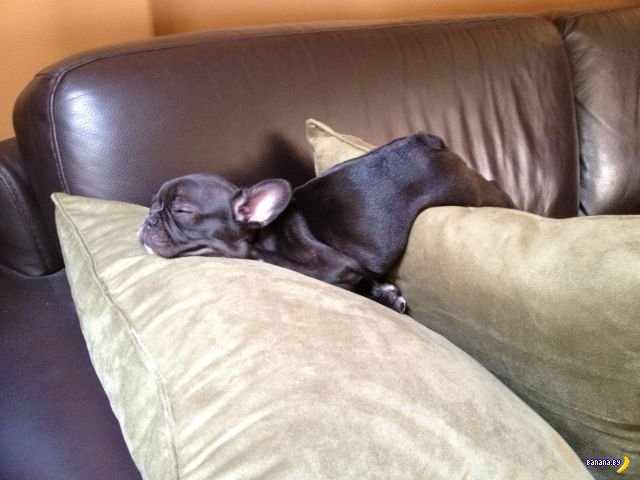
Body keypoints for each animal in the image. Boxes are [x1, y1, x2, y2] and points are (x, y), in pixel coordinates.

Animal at [139, 132, 515, 312]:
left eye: (182, 210)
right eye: (155, 203)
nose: (149, 218)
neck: (266, 234)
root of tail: (426, 140)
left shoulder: (336, 268)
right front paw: (386, 294)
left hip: (473, 191)